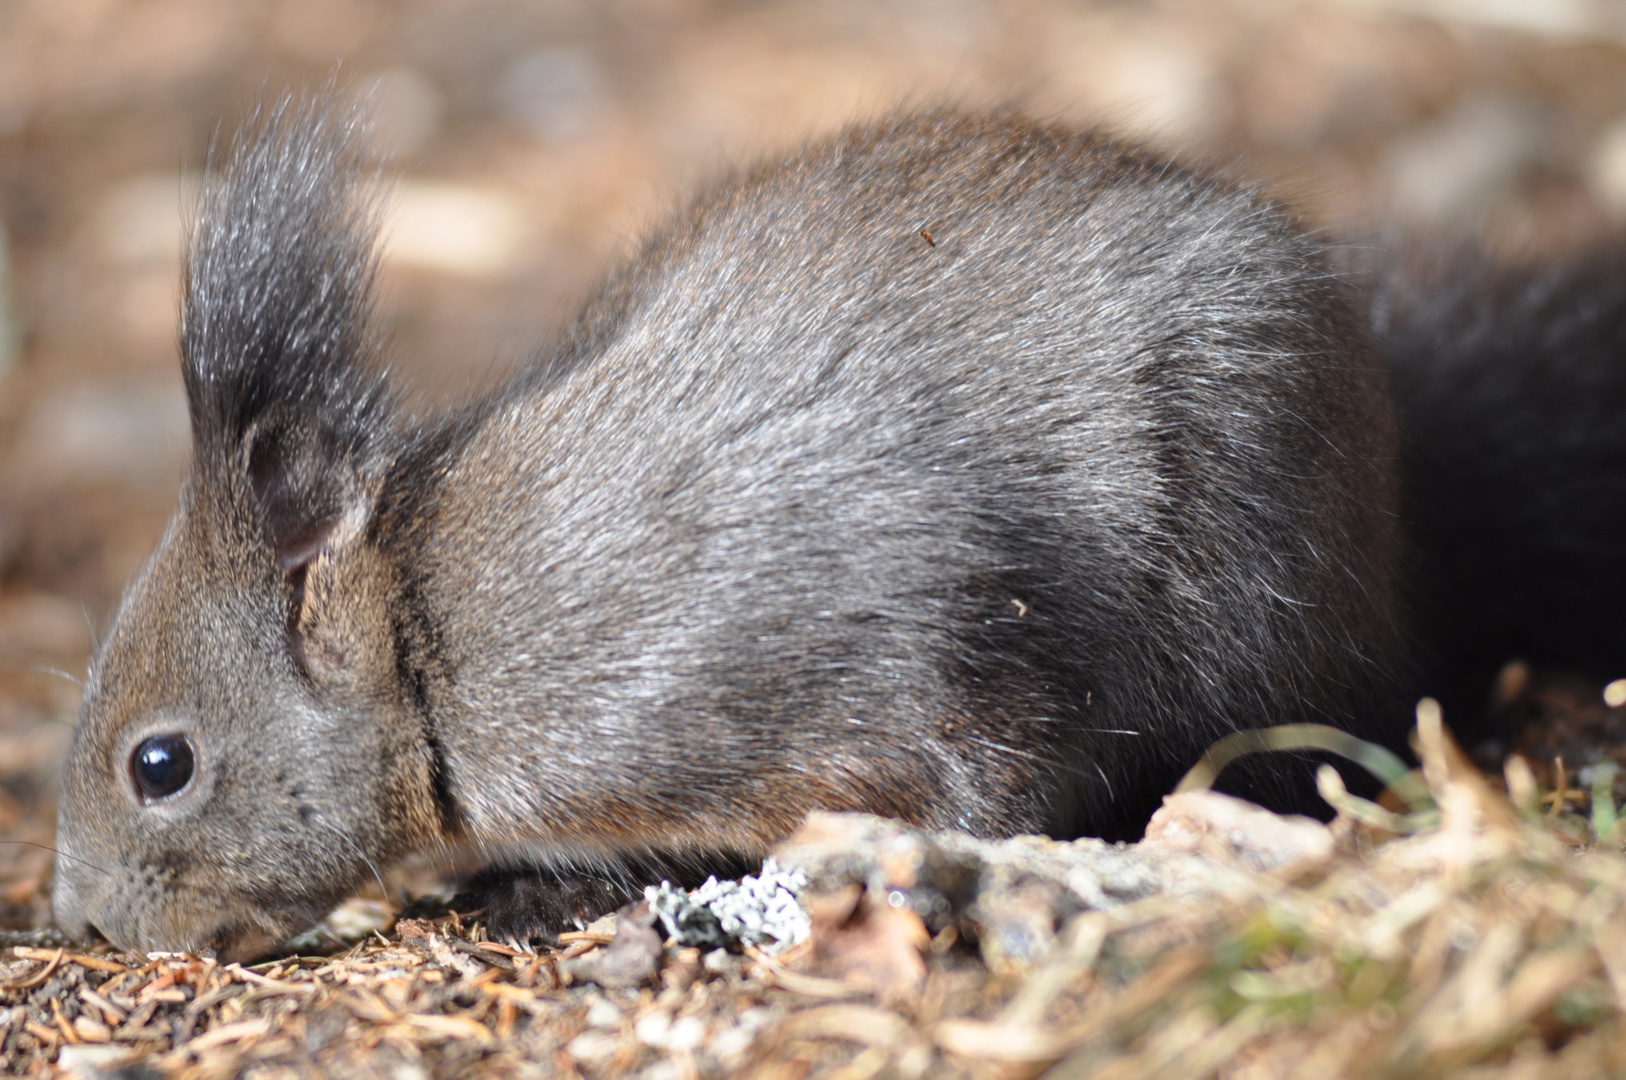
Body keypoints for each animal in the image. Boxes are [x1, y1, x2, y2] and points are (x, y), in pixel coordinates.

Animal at [44, 97, 1619, 956]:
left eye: (159, 764)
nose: (87, 922)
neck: (435, 641)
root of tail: (1404, 531)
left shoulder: (838, 639)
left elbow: (986, 764)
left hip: (1263, 588)